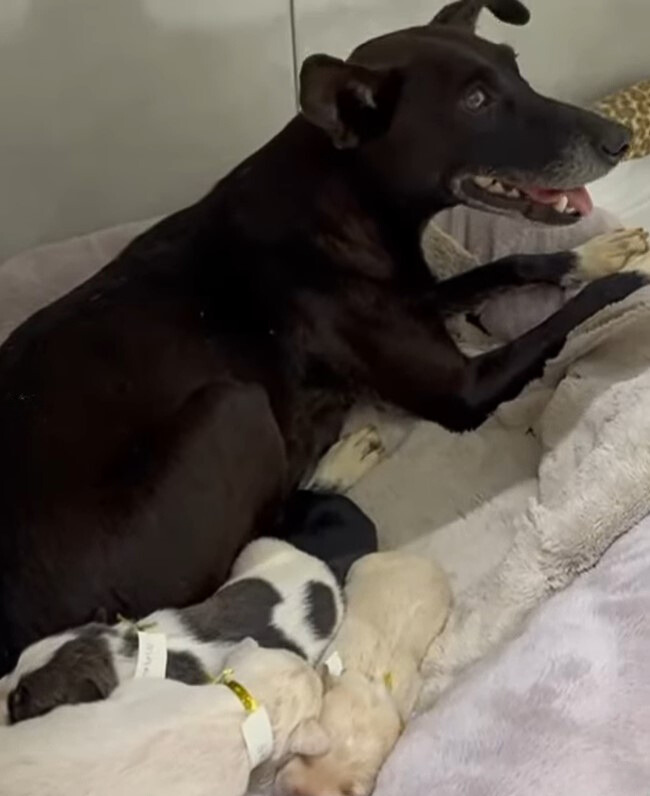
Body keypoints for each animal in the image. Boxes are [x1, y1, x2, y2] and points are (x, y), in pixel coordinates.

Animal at [0, 0, 636, 676]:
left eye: (513, 68)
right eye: (476, 100)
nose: (621, 140)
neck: (344, 193)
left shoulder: (418, 296)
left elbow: (508, 265)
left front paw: (595, 252)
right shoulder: (459, 390)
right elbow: (569, 318)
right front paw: (626, 280)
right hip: (233, 406)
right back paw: (336, 458)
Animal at [3, 536, 344, 724]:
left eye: (21, 699)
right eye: (14, 664)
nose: (0, 686)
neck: (124, 652)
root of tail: (323, 573)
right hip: (256, 550)